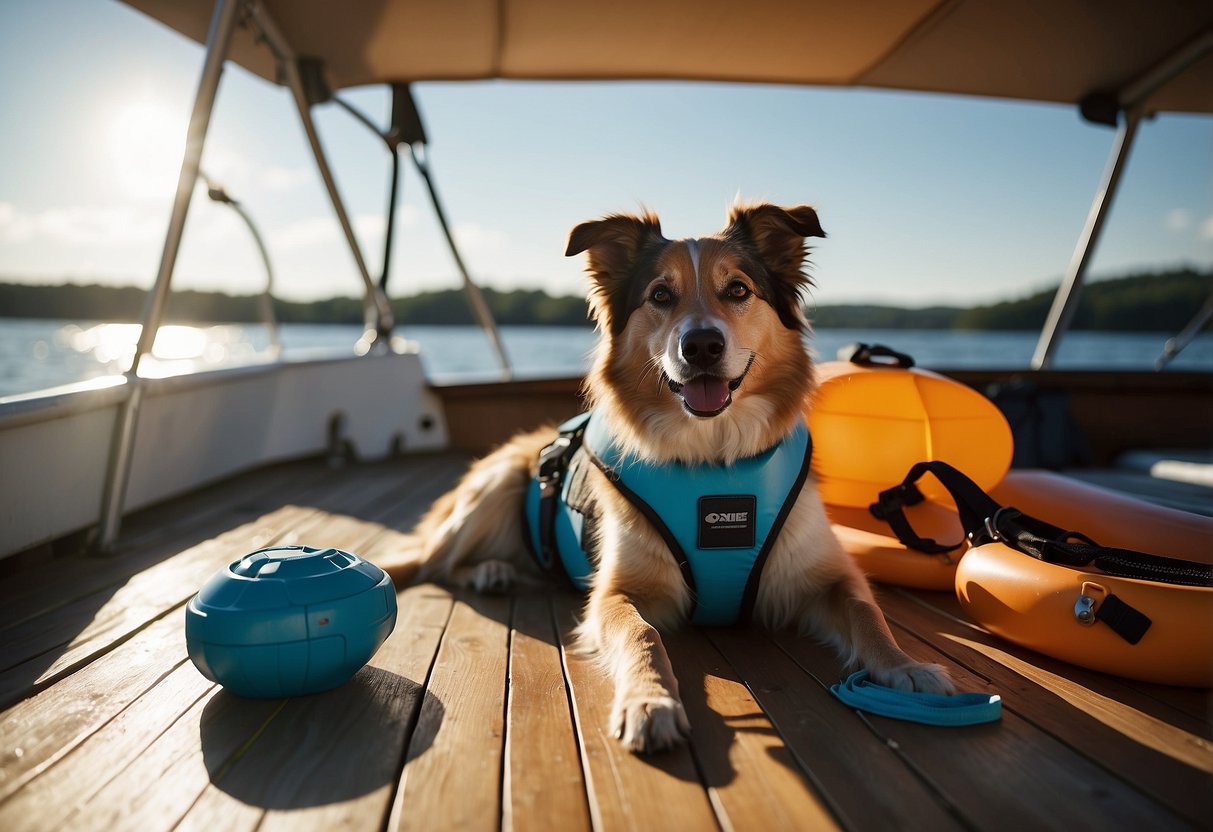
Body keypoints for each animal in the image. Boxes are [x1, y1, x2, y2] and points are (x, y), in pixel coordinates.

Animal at [378, 202, 955, 756]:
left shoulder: (829, 574)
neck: (714, 460)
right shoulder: (615, 592)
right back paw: (489, 570)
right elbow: (643, 635)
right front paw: (649, 701)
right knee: (435, 561)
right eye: (660, 294)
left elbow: (867, 614)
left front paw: (905, 668)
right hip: (494, 485)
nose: (700, 345)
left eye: (737, 289)